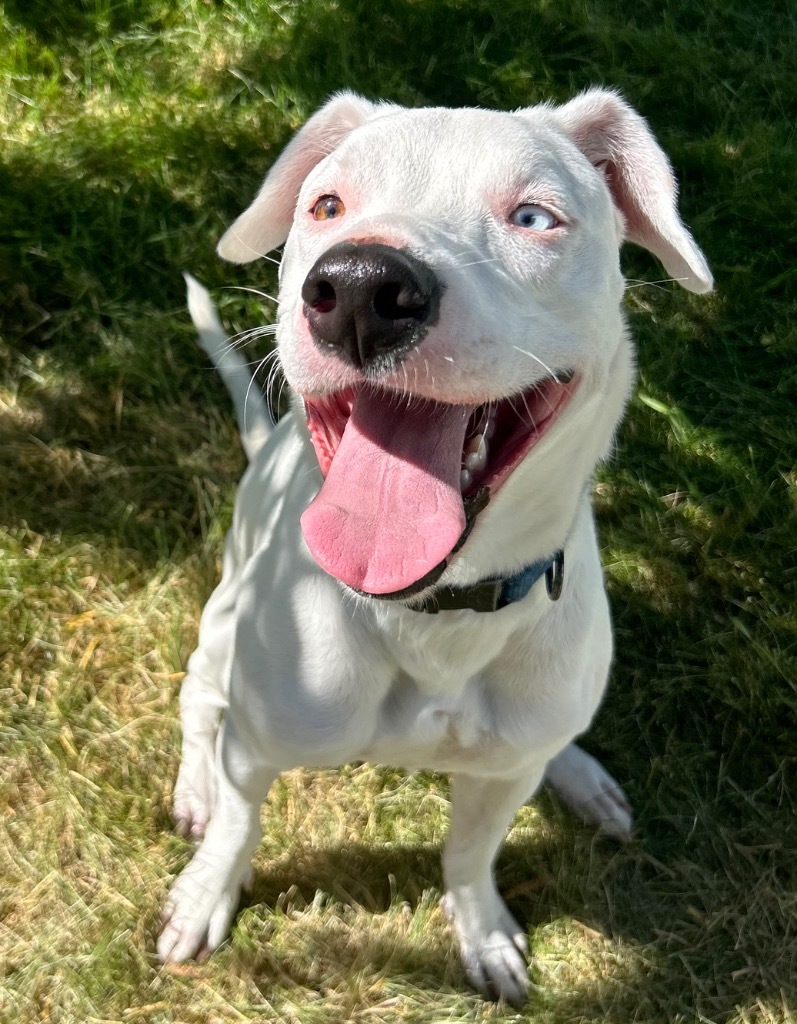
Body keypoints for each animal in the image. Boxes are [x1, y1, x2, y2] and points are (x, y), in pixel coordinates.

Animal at [156, 88, 708, 999]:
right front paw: (206, 895)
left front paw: (481, 932)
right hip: (220, 625)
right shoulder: (256, 749)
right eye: (326, 205)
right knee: (200, 703)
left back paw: (579, 775)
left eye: (534, 217)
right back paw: (193, 789)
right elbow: (239, 826)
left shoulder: (500, 779)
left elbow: (470, 854)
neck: (433, 615)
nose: (358, 286)